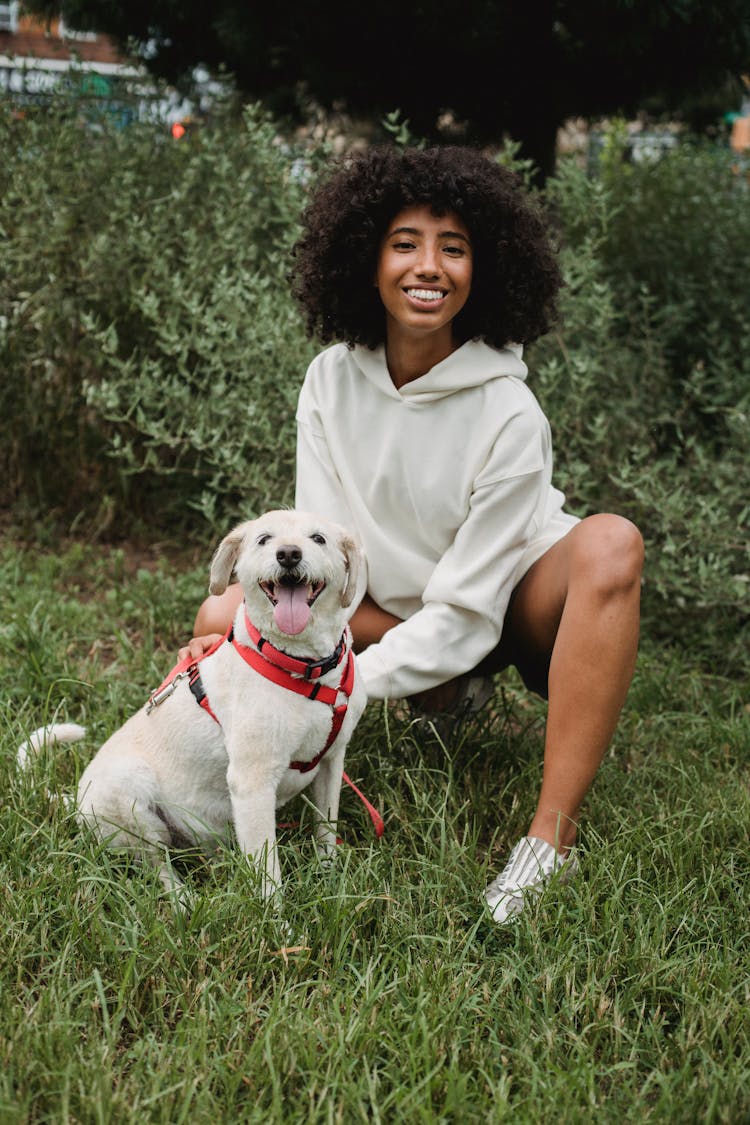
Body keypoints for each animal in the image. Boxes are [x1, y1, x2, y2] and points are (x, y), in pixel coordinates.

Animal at [18, 513, 366, 904]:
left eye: (318, 538)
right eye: (264, 539)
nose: (288, 554)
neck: (306, 669)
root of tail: (74, 799)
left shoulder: (331, 762)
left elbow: (326, 829)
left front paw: (330, 879)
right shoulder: (252, 782)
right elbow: (267, 870)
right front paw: (275, 918)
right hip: (132, 798)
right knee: (157, 866)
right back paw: (185, 901)